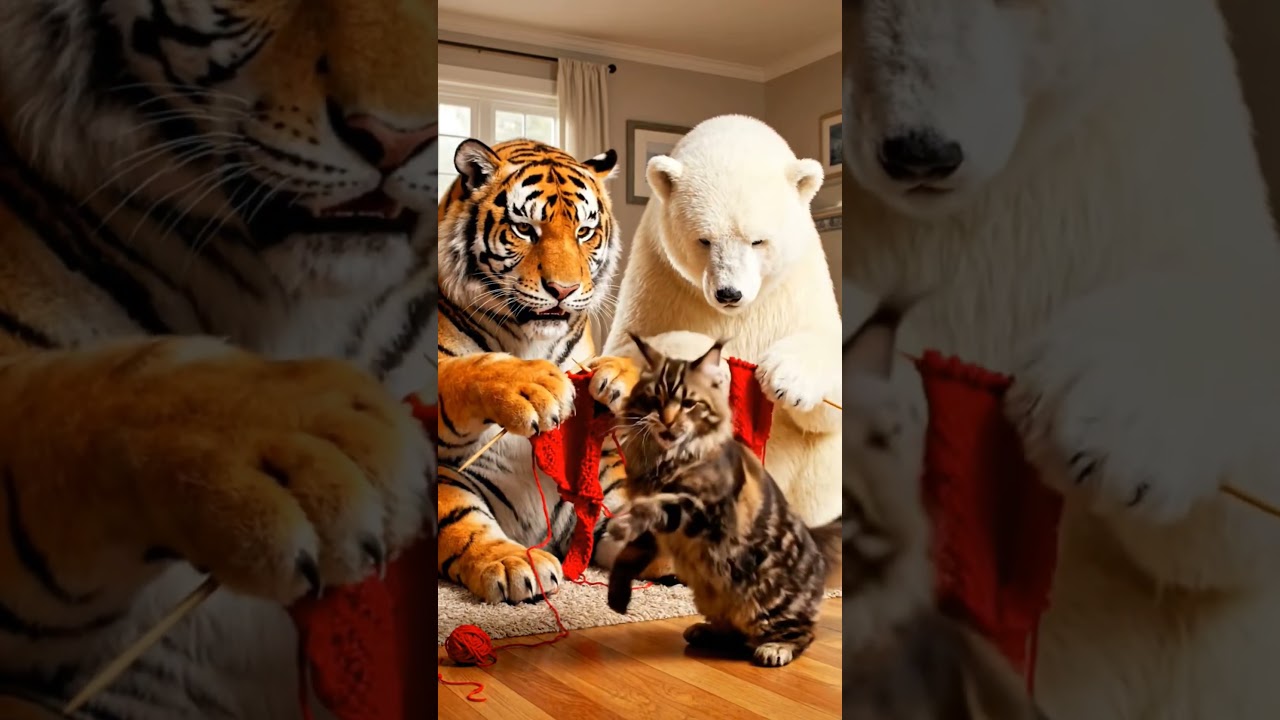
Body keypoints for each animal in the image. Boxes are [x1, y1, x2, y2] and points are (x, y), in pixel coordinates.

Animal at [437, 138, 665, 604]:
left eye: (584, 232)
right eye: (525, 230)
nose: (563, 290)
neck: (528, 337)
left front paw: (615, 376)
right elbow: (466, 370)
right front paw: (533, 384)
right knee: (465, 521)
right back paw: (516, 564)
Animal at [589, 114, 843, 532]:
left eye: (758, 241)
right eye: (704, 240)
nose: (729, 293)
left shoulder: (796, 285)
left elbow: (830, 400)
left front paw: (786, 379)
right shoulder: (659, 277)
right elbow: (631, 341)